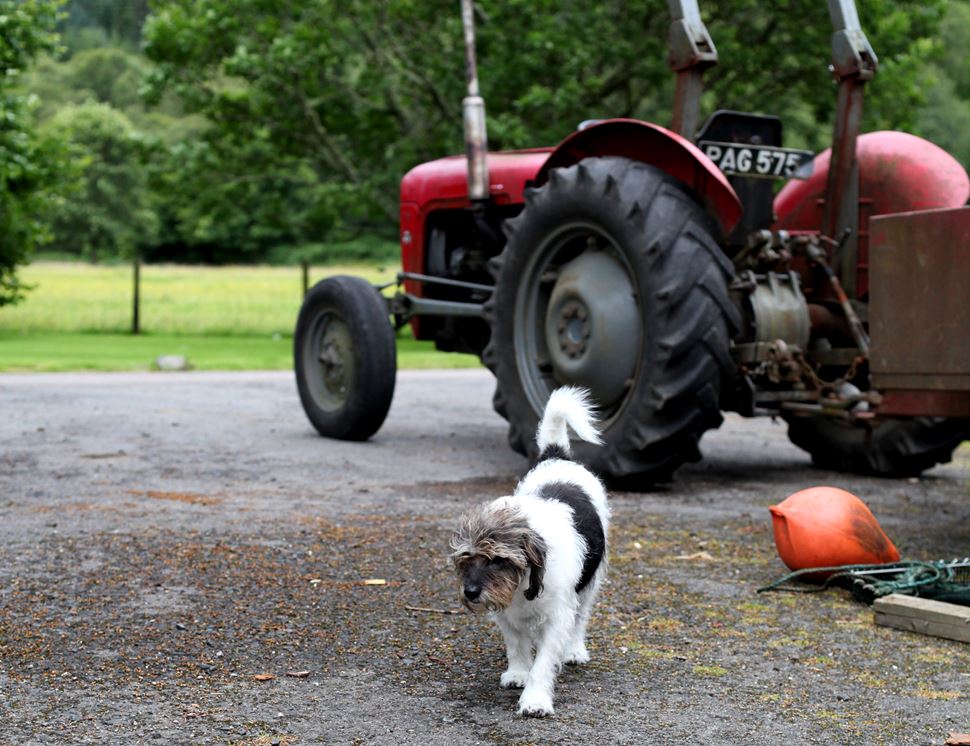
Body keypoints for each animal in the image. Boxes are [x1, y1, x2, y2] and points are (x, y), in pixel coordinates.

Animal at [450, 384, 608, 716]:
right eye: (467, 557)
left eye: (499, 559)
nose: (470, 592)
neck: (524, 583)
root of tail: (557, 456)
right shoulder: (505, 614)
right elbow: (517, 646)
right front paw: (519, 673)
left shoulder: (558, 617)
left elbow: (544, 661)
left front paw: (535, 699)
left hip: (590, 583)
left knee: (581, 617)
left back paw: (574, 650)